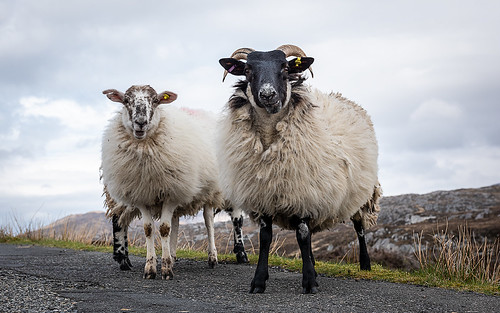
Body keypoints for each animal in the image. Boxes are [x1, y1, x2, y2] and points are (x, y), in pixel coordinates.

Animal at [100, 84, 241, 278]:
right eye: (126, 100)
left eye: (155, 101)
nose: (141, 122)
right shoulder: (142, 195)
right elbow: (149, 229)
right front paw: (151, 268)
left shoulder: (170, 193)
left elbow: (165, 229)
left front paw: (166, 269)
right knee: (170, 222)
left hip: (208, 191)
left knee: (208, 221)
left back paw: (212, 257)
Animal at [217, 44, 380, 292]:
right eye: (247, 70)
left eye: (285, 68)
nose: (268, 95)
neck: (269, 140)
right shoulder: (264, 194)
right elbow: (266, 237)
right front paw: (259, 281)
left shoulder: (303, 190)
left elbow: (302, 235)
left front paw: (309, 282)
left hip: (362, 193)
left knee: (359, 226)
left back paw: (365, 264)